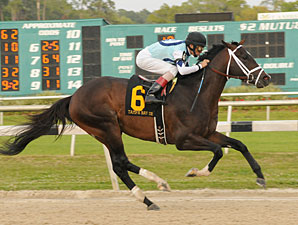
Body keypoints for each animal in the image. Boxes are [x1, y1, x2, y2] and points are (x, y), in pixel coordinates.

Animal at [0, 40, 270, 209]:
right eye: (244, 56)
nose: (266, 78)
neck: (195, 93)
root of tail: (74, 96)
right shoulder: (183, 140)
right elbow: (217, 152)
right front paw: (195, 172)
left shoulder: (208, 132)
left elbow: (239, 144)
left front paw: (260, 178)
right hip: (107, 127)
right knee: (120, 163)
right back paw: (147, 198)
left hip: (106, 131)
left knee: (121, 164)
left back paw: (158, 186)